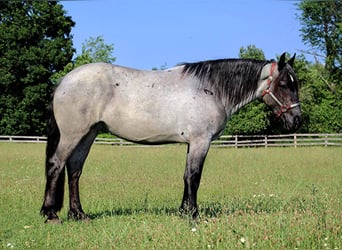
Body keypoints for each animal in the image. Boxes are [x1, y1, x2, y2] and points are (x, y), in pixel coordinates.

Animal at [40, 52, 302, 223]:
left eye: (295, 83)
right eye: (284, 84)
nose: (297, 120)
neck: (211, 89)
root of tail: (64, 81)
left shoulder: (192, 144)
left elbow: (186, 176)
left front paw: (184, 211)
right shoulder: (200, 142)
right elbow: (194, 177)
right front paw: (193, 215)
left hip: (88, 134)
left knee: (74, 170)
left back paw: (78, 214)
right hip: (73, 135)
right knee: (56, 165)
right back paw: (51, 214)